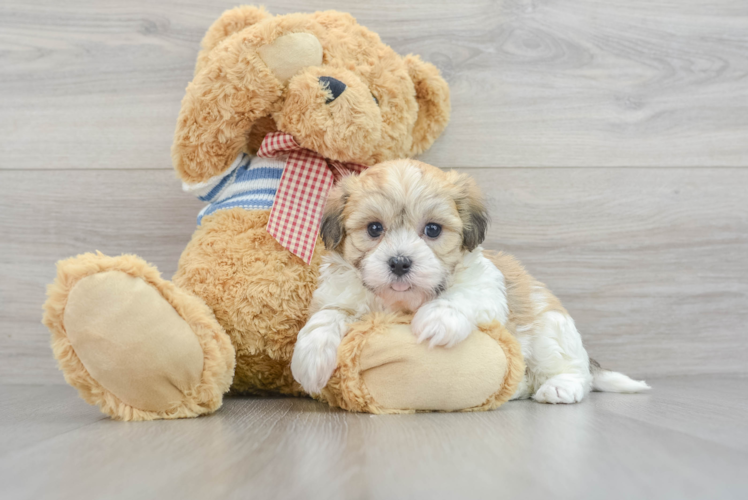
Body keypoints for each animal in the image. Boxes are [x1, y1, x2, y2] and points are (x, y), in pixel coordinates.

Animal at [290, 160, 652, 402]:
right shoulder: (339, 294)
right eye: (374, 229)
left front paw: (437, 319)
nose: (400, 262)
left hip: (550, 331)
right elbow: (327, 315)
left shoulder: (486, 286)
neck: (404, 304)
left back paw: (559, 387)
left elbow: (461, 295)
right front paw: (310, 357)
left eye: (433, 229)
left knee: (574, 371)